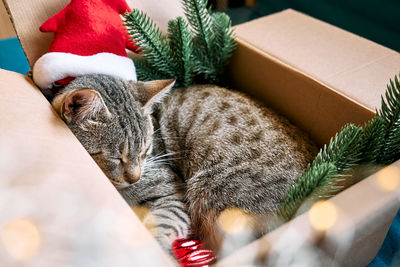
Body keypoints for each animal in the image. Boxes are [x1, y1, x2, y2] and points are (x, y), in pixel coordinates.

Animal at [50, 74, 318, 254]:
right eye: (117, 157)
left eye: (145, 151)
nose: (135, 177)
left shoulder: (171, 195)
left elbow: (161, 225)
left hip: (213, 192)